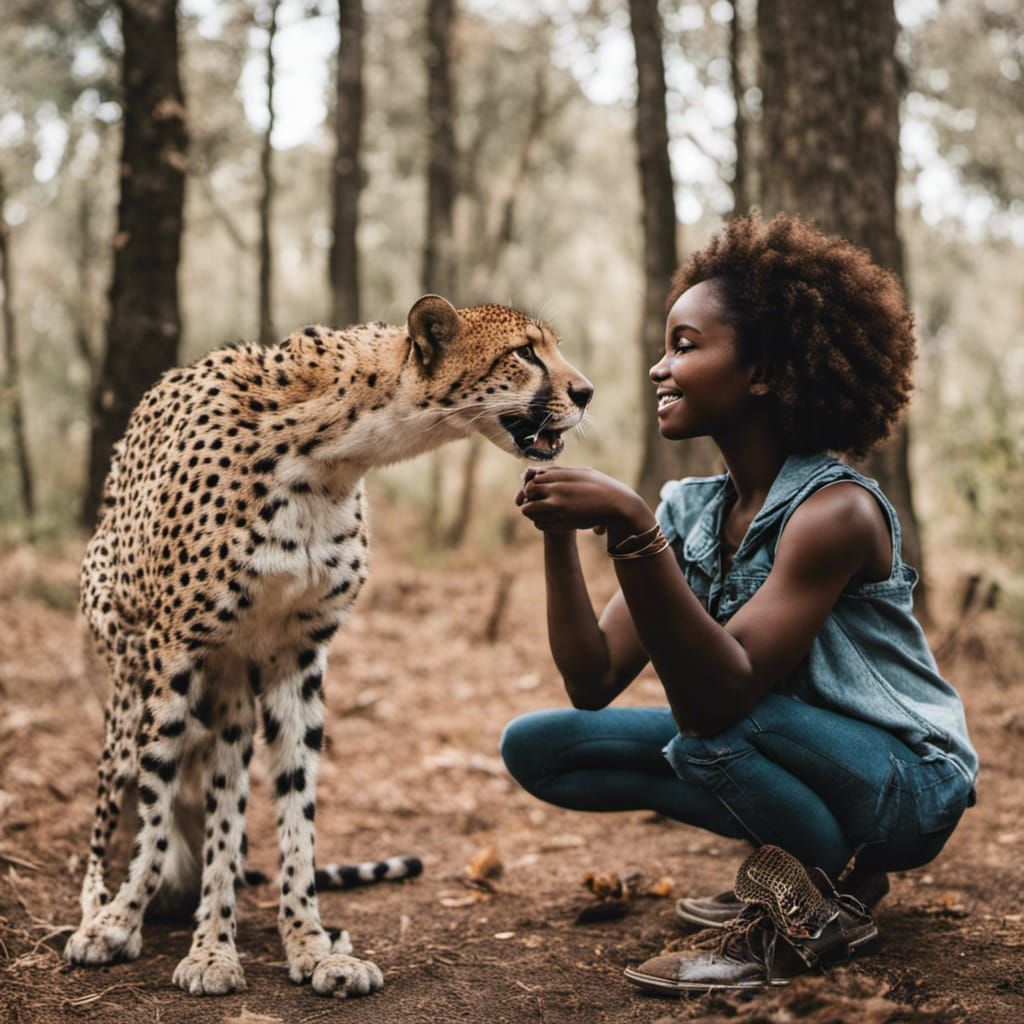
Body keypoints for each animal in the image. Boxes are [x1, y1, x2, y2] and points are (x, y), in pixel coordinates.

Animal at [66, 294, 593, 991]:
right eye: (525, 352)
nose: (586, 392)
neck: (330, 454)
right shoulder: (174, 647)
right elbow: (154, 807)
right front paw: (120, 924)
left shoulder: (298, 655)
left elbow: (296, 809)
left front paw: (311, 945)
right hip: (131, 693)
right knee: (121, 810)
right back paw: (122, 916)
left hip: (233, 690)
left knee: (225, 815)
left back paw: (218, 940)